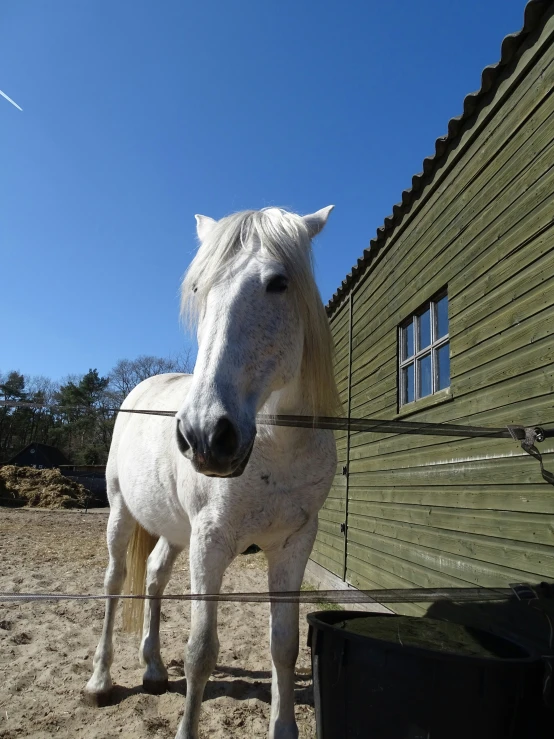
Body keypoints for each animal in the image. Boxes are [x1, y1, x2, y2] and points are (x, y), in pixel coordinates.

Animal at [84, 205, 338, 739]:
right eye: (199, 288)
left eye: (278, 282)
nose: (205, 434)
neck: (276, 448)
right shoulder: (211, 540)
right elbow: (201, 653)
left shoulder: (294, 544)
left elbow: (283, 645)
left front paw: (283, 727)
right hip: (121, 514)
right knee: (115, 583)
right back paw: (100, 681)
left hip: (173, 532)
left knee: (155, 578)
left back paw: (153, 670)